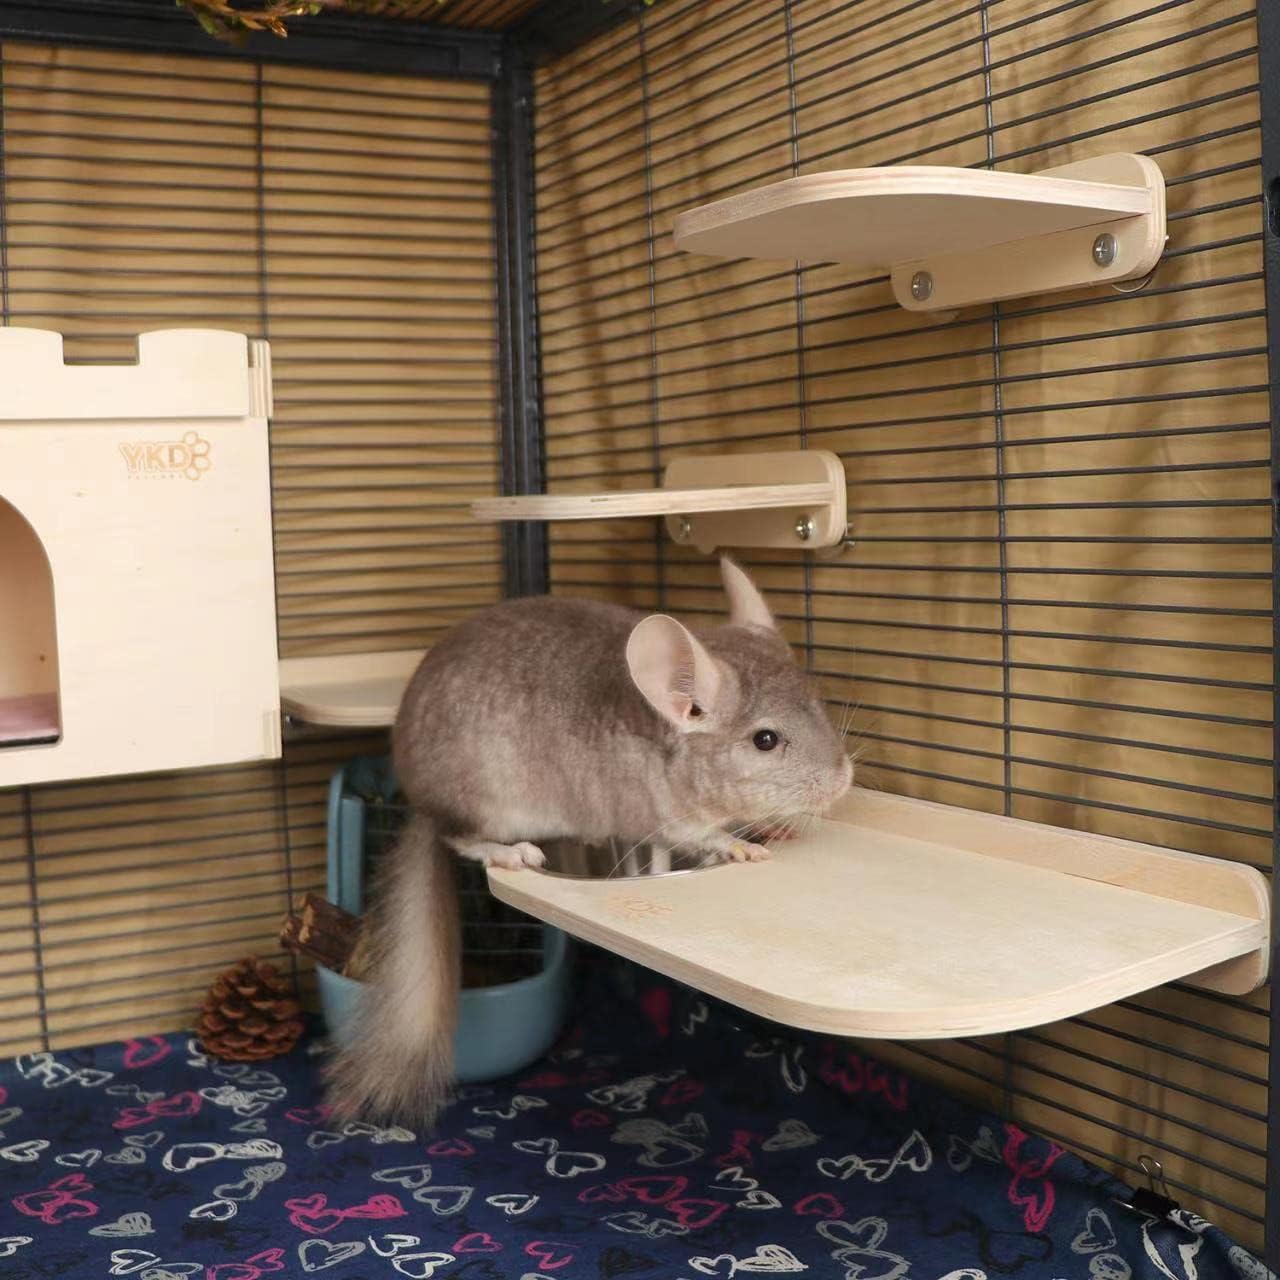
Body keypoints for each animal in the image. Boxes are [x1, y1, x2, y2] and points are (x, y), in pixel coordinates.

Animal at [324, 556, 853, 1127]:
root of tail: (419, 799)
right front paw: (745, 847)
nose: (844, 780)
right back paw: (511, 852)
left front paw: (773, 827)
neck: (667, 743)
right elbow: (703, 836)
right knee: (459, 837)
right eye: (765, 740)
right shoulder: (664, 815)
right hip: (490, 801)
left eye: (818, 704)